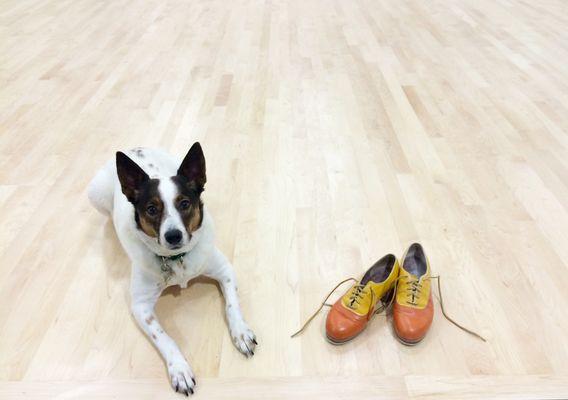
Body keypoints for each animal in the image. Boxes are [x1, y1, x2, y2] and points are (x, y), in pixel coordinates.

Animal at [87, 142, 256, 396]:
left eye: (185, 204)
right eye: (151, 209)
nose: (173, 235)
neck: (176, 260)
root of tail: (134, 148)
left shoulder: (225, 270)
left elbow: (232, 305)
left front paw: (241, 332)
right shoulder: (141, 306)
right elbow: (164, 338)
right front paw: (180, 369)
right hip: (95, 193)